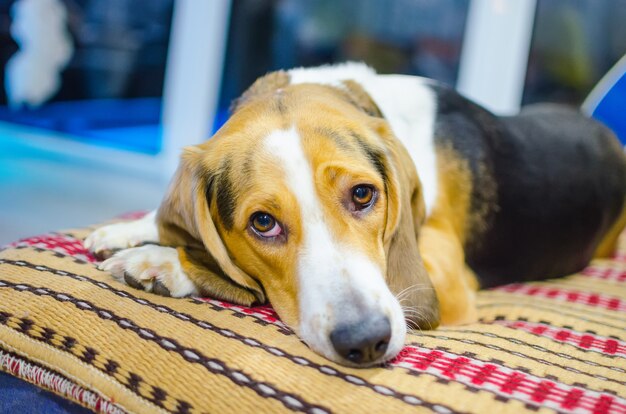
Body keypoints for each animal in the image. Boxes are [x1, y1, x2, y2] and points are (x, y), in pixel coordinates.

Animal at [85, 63, 624, 368]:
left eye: (363, 195)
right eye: (263, 223)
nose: (365, 342)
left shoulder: (448, 283)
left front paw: (165, 261)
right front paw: (133, 229)